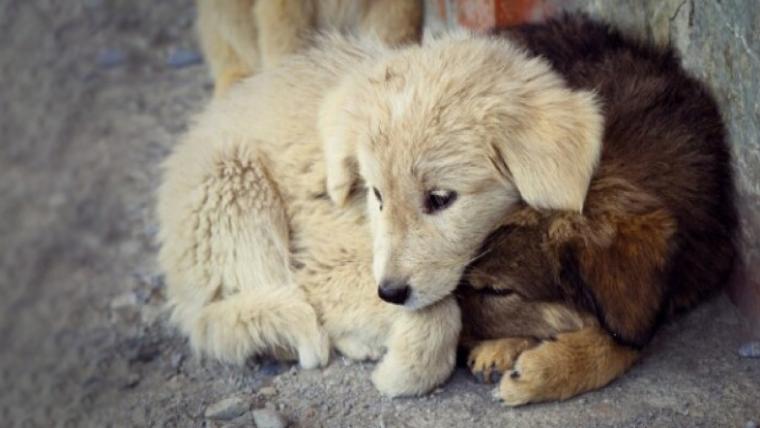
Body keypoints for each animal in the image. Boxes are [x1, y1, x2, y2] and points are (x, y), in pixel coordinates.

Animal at [157, 31, 604, 396]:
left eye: (440, 198)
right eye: (377, 194)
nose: (389, 292)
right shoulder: (319, 267)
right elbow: (441, 313)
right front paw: (402, 373)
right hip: (232, 179)